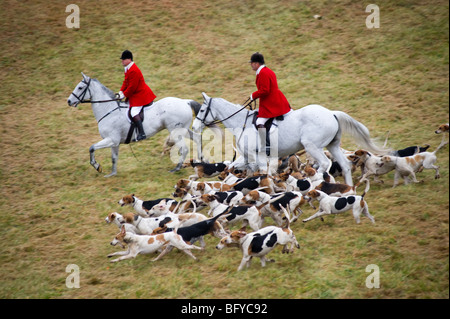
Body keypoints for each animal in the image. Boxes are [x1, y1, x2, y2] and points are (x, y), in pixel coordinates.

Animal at [67, 73, 200, 178]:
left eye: (80, 87)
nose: (69, 101)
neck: (109, 110)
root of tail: (185, 102)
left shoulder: (111, 140)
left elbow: (92, 148)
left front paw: (97, 166)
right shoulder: (114, 143)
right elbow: (114, 158)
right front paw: (112, 174)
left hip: (176, 132)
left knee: (184, 148)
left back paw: (177, 168)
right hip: (183, 130)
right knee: (197, 138)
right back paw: (200, 159)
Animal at [192, 94, 388, 186]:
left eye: (201, 110)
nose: (194, 127)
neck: (242, 122)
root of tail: (332, 113)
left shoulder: (256, 155)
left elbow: (260, 171)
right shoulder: (247, 157)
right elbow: (241, 170)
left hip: (312, 146)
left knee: (324, 164)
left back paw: (315, 180)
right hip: (333, 146)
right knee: (345, 166)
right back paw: (349, 190)